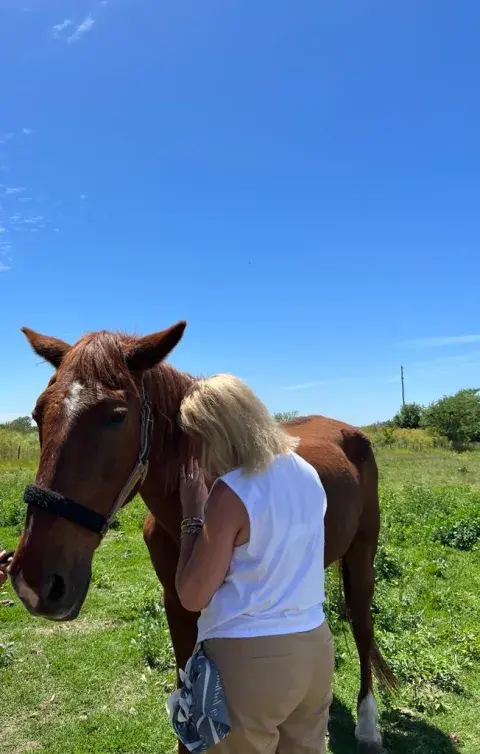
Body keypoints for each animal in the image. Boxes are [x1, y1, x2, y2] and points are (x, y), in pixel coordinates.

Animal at [10, 322, 394, 752]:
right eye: (37, 414)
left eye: (116, 416)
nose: (34, 582)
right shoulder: (177, 603)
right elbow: (185, 691)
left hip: (362, 554)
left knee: (361, 623)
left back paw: (368, 723)